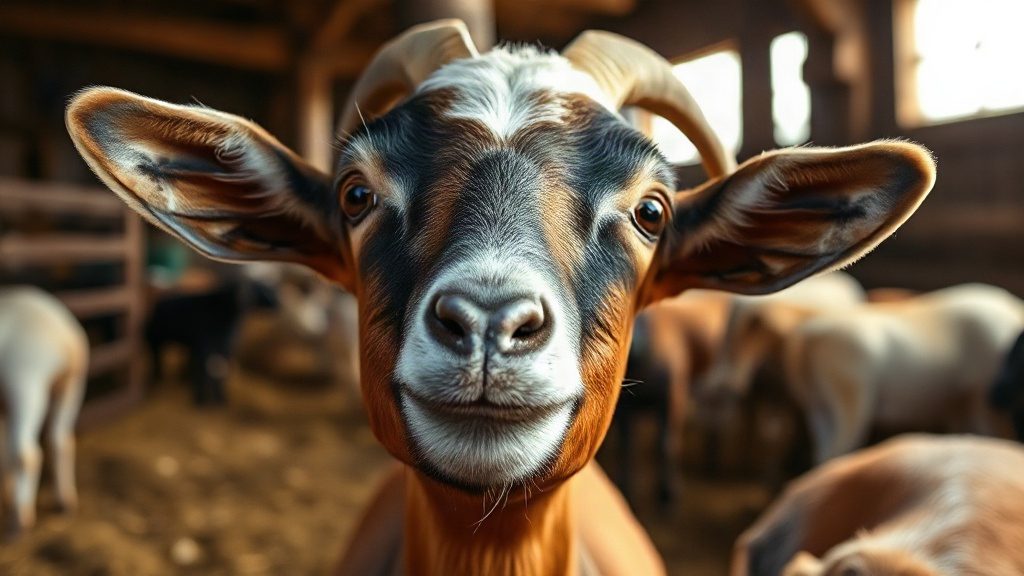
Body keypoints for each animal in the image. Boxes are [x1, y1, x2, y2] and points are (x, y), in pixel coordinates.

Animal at [0, 286, 88, 535]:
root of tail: (66, 338)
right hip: (73, 383)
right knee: (61, 439)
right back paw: (65, 502)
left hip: (25, 378)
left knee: (27, 453)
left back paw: (19, 521)